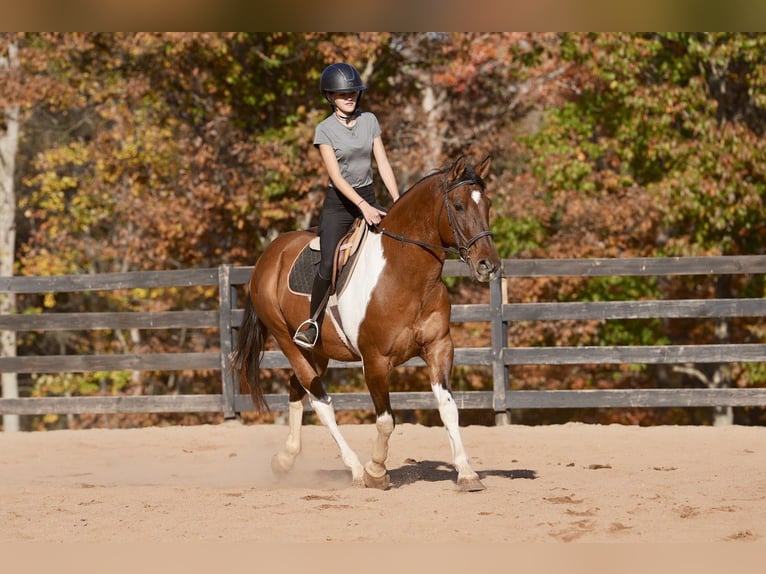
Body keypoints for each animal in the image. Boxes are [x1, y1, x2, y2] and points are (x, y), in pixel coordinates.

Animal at [231, 155, 501, 491]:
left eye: (487, 203)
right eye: (460, 206)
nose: (488, 265)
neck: (404, 274)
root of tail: (269, 256)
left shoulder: (439, 348)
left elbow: (449, 409)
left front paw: (466, 472)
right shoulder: (375, 360)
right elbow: (386, 420)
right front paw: (376, 471)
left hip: (318, 351)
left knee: (298, 389)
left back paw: (285, 460)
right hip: (288, 341)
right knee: (321, 401)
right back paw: (356, 469)